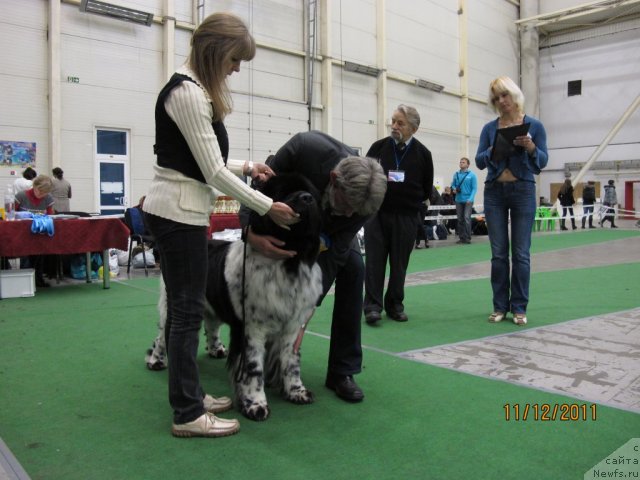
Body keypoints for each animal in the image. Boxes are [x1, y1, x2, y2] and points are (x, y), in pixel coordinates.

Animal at [147, 175, 322, 420]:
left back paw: (216, 349)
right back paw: (156, 360)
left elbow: (291, 361)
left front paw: (297, 391)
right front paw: (255, 405)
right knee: (163, 334)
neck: (289, 263)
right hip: (170, 301)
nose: (306, 199)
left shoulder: (292, 326)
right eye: (284, 193)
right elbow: (252, 367)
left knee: (211, 325)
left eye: (309, 192)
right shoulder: (252, 328)